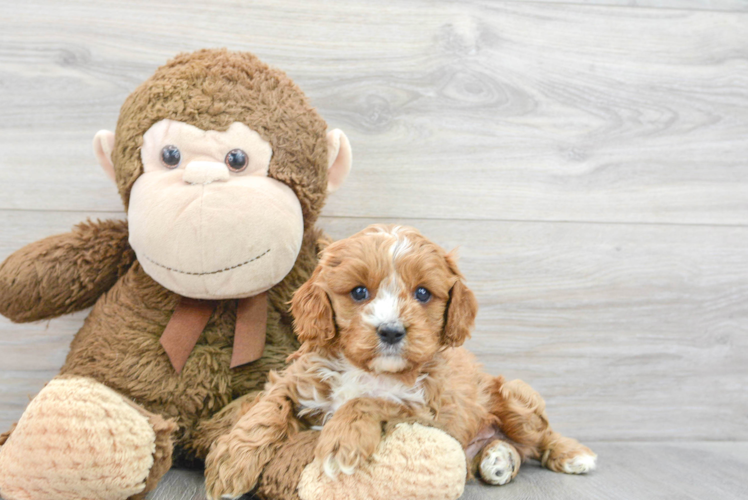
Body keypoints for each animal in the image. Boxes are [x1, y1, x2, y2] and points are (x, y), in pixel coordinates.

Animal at [206, 226, 596, 500]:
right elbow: (266, 410)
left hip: (513, 396)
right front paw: (230, 465)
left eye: (423, 293)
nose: (391, 331)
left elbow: (370, 400)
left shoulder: (428, 410)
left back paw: (571, 454)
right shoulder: (296, 378)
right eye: (359, 292)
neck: (367, 369)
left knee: (540, 437)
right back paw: (498, 459)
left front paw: (340, 442)